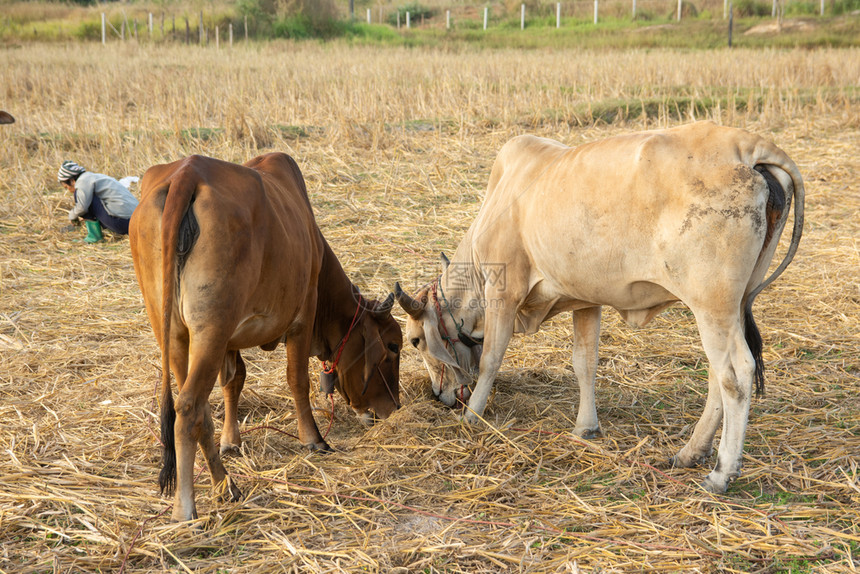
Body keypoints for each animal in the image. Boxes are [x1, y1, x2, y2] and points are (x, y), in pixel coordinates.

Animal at [130, 153, 404, 520]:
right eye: (393, 346)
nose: (393, 409)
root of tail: (188, 172)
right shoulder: (303, 314)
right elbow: (297, 380)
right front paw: (314, 439)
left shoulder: (229, 341)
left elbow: (233, 382)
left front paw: (231, 441)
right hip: (210, 329)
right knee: (188, 408)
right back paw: (186, 507)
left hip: (173, 331)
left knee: (199, 410)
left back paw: (225, 484)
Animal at [400, 122, 804, 496]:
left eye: (415, 340)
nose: (438, 396)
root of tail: (748, 147)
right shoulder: (586, 301)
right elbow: (585, 363)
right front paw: (586, 427)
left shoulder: (505, 290)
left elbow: (491, 359)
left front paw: (472, 416)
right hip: (731, 307)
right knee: (716, 375)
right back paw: (691, 452)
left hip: (712, 305)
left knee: (735, 374)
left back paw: (722, 472)